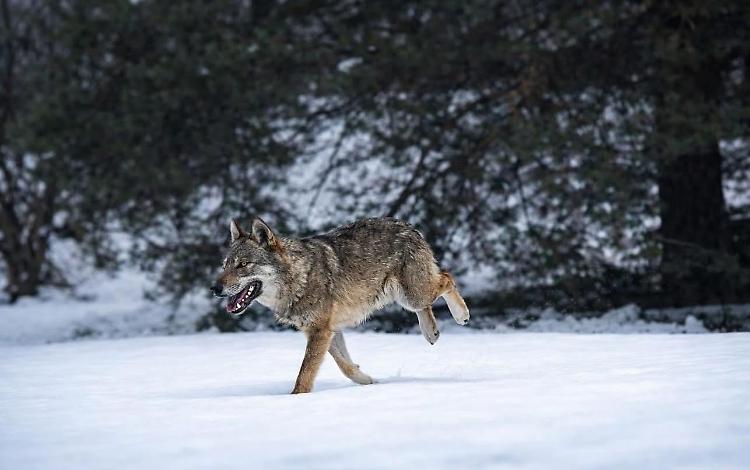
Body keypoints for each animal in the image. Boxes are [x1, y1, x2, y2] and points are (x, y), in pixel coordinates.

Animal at [210, 217, 470, 394]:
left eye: (243, 264)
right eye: (224, 265)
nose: (214, 288)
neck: (299, 277)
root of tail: (408, 226)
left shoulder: (320, 331)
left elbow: (305, 374)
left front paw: (295, 398)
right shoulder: (329, 331)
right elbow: (345, 366)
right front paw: (368, 381)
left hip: (413, 294)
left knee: (447, 278)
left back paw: (461, 315)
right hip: (407, 298)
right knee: (432, 297)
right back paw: (431, 332)